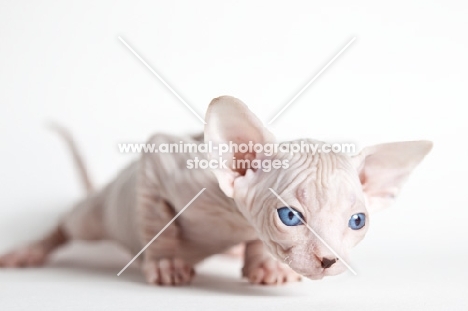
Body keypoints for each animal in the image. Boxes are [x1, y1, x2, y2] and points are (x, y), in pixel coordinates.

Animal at [0, 96, 434, 286]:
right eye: (290, 216)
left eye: (357, 221)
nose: (328, 261)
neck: (231, 217)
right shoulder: (162, 160)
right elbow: (157, 219)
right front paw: (166, 263)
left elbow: (256, 241)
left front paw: (264, 266)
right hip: (98, 214)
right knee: (68, 224)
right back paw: (29, 251)